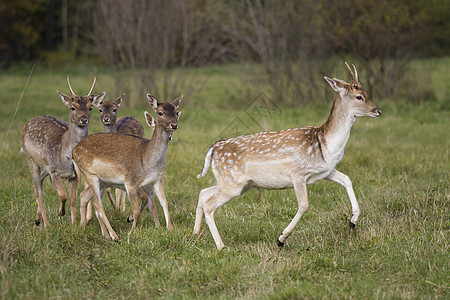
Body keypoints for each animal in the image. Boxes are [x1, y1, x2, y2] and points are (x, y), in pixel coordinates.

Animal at [21, 77, 106, 227]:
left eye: (90, 107)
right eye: (73, 107)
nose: (83, 119)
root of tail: (26, 124)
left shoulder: (73, 175)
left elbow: (73, 199)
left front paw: (74, 223)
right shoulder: (54, 171)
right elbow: (63, 195)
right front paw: (61, 212)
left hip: (44, 167)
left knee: (40, 185)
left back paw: (37, 219)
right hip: (30, 159)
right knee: (38, 193)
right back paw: (46, 224)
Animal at [72, 94, 181, 241]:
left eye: (176, 112)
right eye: (160, 112)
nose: (174, 125)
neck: (147, 160)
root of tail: (74, 150)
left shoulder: (157, 179)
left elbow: (164, 203)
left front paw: (170, 229)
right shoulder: (130, 182)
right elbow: (137, 210)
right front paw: (130, 234)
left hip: (102, 181)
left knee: (84, 196)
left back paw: (84, 227)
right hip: (89, 174)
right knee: (98, 204)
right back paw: (113, 235)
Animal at [195, 62, 382, 248]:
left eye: (365, 93)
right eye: (359, 96)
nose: (378, 111)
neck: (324, 144)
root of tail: (214, 148)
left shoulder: (325, 171)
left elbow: (347, 179)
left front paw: (352, 222)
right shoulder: (298, 173)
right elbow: (304, 205)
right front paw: (281, 239)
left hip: (237, 183)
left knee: (203, 193)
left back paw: (195, 234)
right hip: (232, 183)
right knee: (209, 204)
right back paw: (221, 246)